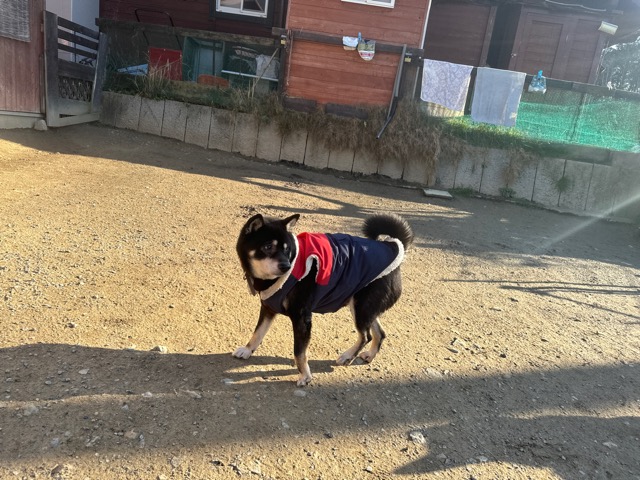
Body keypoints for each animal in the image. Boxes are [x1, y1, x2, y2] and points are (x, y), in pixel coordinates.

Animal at [233, 213, 414, 386]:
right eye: (268, 247)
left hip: (361, 308)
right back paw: (370, 354)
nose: (286, 266)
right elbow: (258, 332)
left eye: (287, 250)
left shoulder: (302, 318)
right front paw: (247, 350)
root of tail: (395, 246)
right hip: (364, 308)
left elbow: (299, 352)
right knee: (379, 333)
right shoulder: (268, 308)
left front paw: (305, 376)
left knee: (365, 336)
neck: (270, 280)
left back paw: (348, 356)